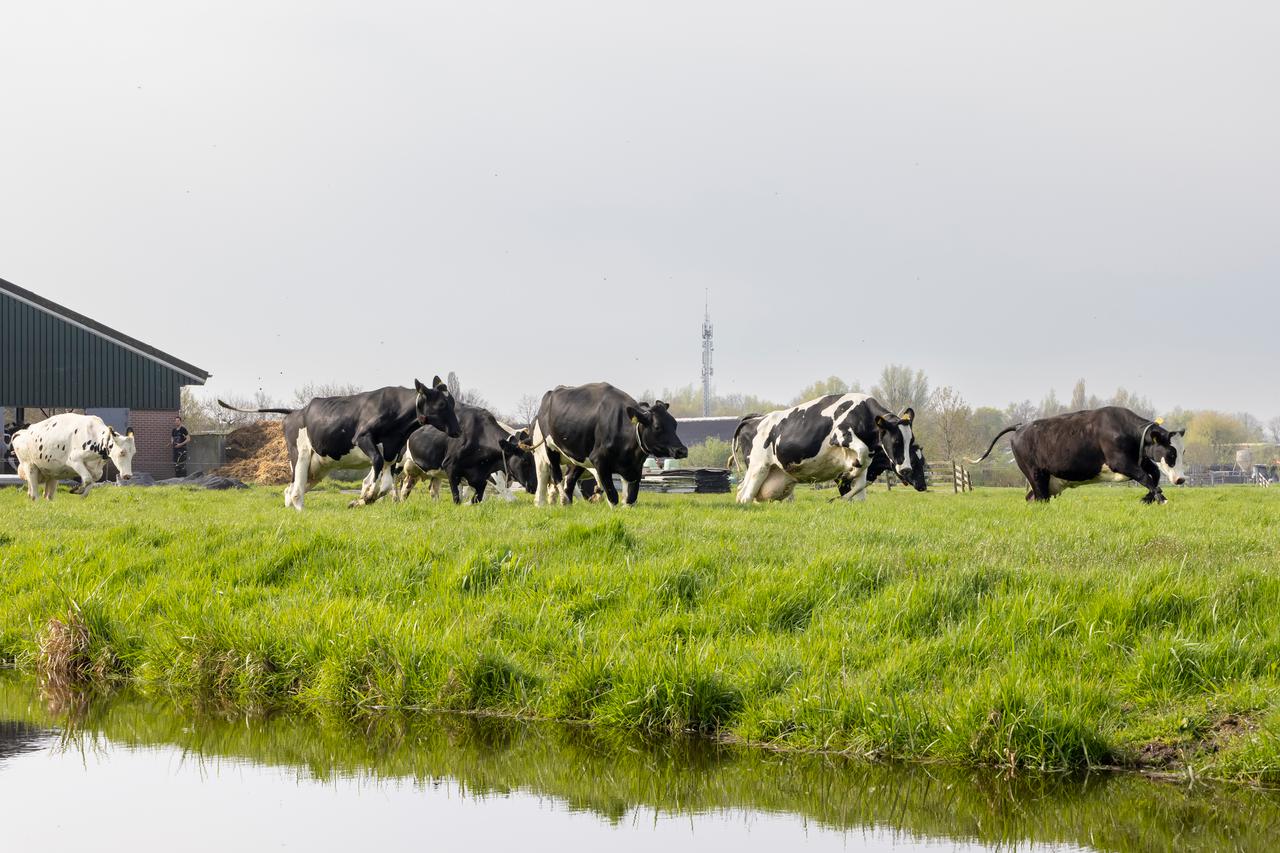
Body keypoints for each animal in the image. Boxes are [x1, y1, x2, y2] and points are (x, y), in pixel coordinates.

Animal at [219, 378, 460, 511]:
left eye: (452, 402)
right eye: (441, 404)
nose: (458, 430)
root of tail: (296, 411)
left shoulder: (393, 453)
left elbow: (386, 485)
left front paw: (362, 500)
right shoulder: (362, 438)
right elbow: (375, 467)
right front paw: (365, 495)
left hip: (316, 468)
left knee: (290, 488)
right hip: (300, 455)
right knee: (296, 490)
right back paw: (300, 511)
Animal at [398, 406, 537, 504]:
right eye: (525, 460)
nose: (535, 486)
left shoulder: (480, 477)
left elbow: (477, 498)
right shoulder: (451, 468)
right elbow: (457, 498)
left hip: (425, 471)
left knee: (412, 488)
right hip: (398, 463)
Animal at [524, 382, 688, 507]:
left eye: (675, 424)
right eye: (657, 427)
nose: (682, 450)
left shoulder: (635, 468)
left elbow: (630, 498)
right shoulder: (600, 461)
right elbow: (612, 495)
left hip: (578, 455)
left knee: (569, 480)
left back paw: (567, 504)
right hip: (550, 449)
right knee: (554, 475)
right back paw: (554, 501)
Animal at [735, 395, 920, 504]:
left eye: (911, 442)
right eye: (896, 441)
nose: (906, 469)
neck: (862, 413)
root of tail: (756, 418)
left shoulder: (867, 461)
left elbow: (859, 486)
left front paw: (842, 495)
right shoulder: (840, 435)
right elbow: (860, 452)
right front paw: (848, 474)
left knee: (742, 492)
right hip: (759, 467)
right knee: (745, 496)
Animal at [969, 406, 1186, 503]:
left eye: (1183, 451)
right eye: (1172, 454)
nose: (1182, 479)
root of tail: (1020, 426)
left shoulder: (1139, 459)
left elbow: (1154, 474)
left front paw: (1148, 498)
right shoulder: (1121, 462)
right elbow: (1146, 477)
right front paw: (1160, 499)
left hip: (1044, 480)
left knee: (1032, 498)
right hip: (1035, 474)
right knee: (1039, 499)